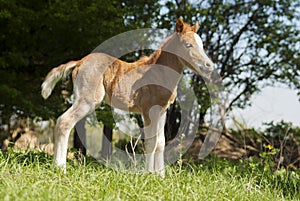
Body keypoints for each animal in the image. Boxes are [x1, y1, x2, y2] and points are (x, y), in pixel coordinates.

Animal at [41, 18, 213, 176]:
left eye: (202, 45)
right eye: (188, 45)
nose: (209, 66)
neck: (159, 73)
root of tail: (79, 62)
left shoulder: (162, 110)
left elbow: (161, 142)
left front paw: (161, 176)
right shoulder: (148, 110)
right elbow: (151, 142)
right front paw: (149, 174)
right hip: (87, 101)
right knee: (64, 122)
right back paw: (60, 168)